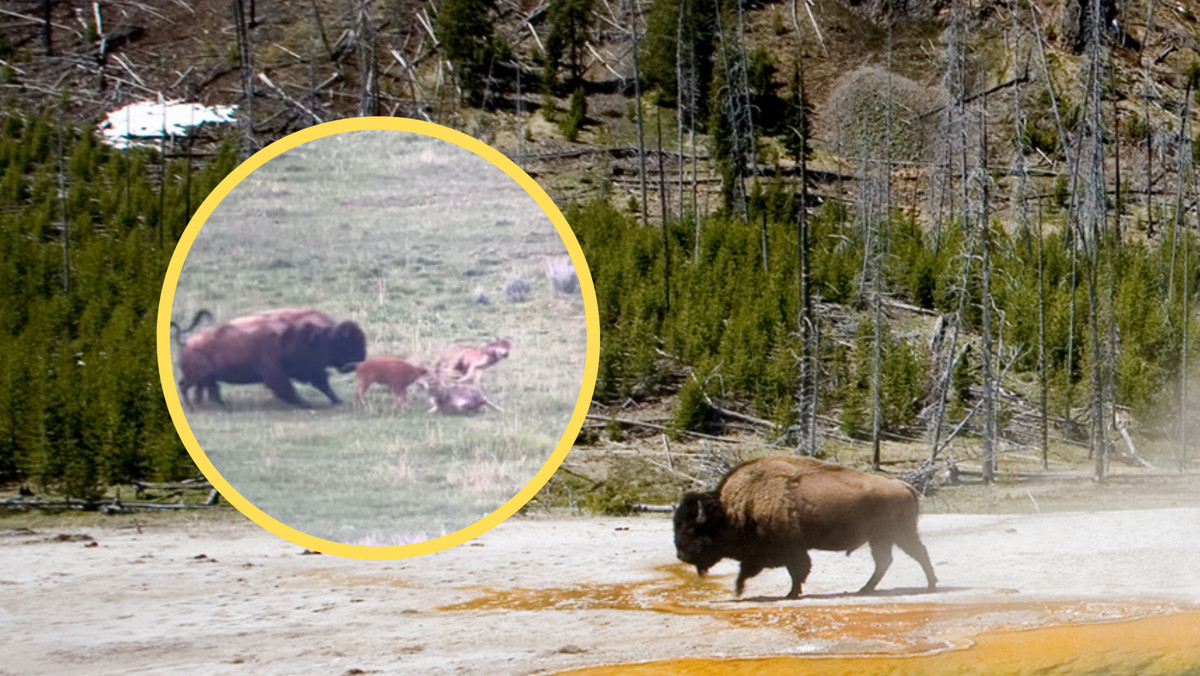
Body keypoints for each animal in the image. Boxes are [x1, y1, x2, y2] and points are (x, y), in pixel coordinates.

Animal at [176, 307, 364, 408]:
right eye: (347, 342)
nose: (359, 361)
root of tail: (186, 342)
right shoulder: (276, 371)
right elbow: (287, 388)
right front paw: (305, 403)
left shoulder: (312, 369)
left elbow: (322, 384)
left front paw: (337, 400)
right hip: (201, 377)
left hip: (207, 378)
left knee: (210, 390)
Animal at [676, 453, 936, 597]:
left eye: (692, 529)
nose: (680, 555)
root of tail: (902, 486)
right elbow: (751, 571)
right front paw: (739, 590)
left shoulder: (789, 549)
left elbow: (796, 570)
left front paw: (790, 594)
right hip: (881, 538)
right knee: (885, 561)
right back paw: (865, 589)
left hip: (900, 534)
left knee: (918, 553)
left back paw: (931, 585)